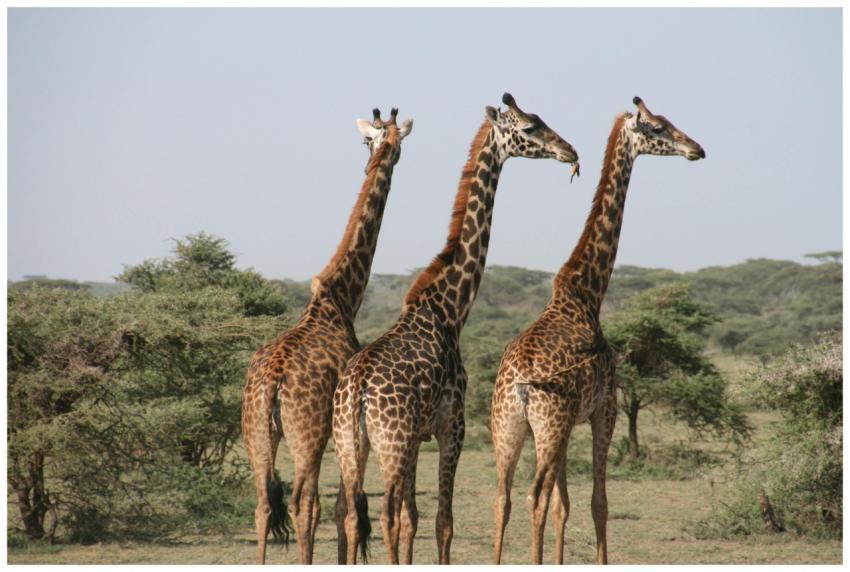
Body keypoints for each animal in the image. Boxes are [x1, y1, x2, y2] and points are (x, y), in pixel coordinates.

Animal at [241, 107, 413, 564]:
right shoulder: (341, 432)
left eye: (372, 140)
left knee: (262, 505)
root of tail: (272, 382)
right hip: (307, 436)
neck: (340, 299)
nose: (383, 157)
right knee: (304, 503)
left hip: (255, 432)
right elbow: (342, 508)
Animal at [333, 93, 580, 565]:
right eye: (529, 127)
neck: (449, 308)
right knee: (383, 515)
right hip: (389, 444)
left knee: (354, 515)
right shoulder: (454, 426)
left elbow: (413, 518)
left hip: (351, 445)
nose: (570, 151)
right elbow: (441, 521)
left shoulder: (417, 437)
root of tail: (356, 391)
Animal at [489, 96, 705, 565]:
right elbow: (597, 502)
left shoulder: (572, 421)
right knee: (534, 497)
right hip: (547, 425)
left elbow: (564, 506)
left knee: (504, 499)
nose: (696, 148)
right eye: (658, 127)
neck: (587, 292)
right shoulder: (604, 409)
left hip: (508, 428)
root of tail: (519, 384)